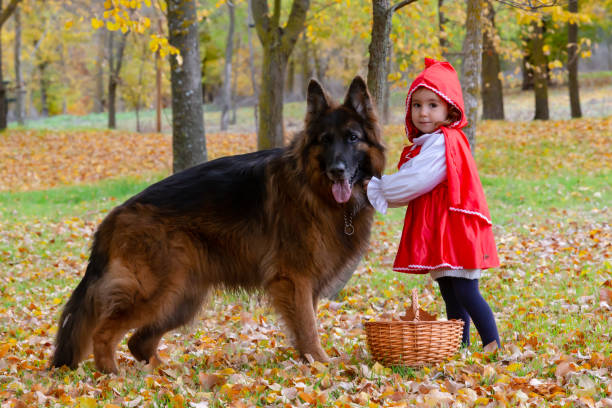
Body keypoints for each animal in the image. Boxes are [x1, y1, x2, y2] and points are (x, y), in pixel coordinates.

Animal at [50, 76, 384, 372]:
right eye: (325, 140)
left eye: (352, 138)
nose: (337, 170)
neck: (313, 187)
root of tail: (116, 214)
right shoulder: (295, 279)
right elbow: (309, 327)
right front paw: (321, 364)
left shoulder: (305, 285)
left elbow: (306, 324)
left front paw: (309, 361)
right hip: (154, 292)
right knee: (104, 334)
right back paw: (112, 375)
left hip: (181, 299)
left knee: (139, 342)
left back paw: (163, 373)